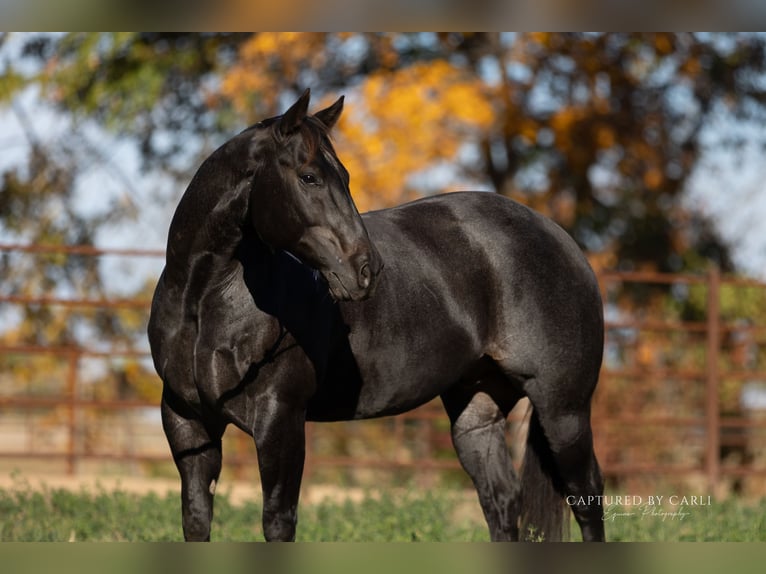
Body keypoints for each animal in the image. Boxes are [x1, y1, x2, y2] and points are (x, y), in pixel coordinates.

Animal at [148, 89, 606, 542]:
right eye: (308, 177)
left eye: (346, 177)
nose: (366, 269)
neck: (204, 303)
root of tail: (559, 237)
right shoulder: (187, 421)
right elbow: (196, 517)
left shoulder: (280, 422)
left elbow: (278, 521)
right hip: (477, 412)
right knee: (502, 500)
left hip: (563, 410)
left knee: (587, 494)